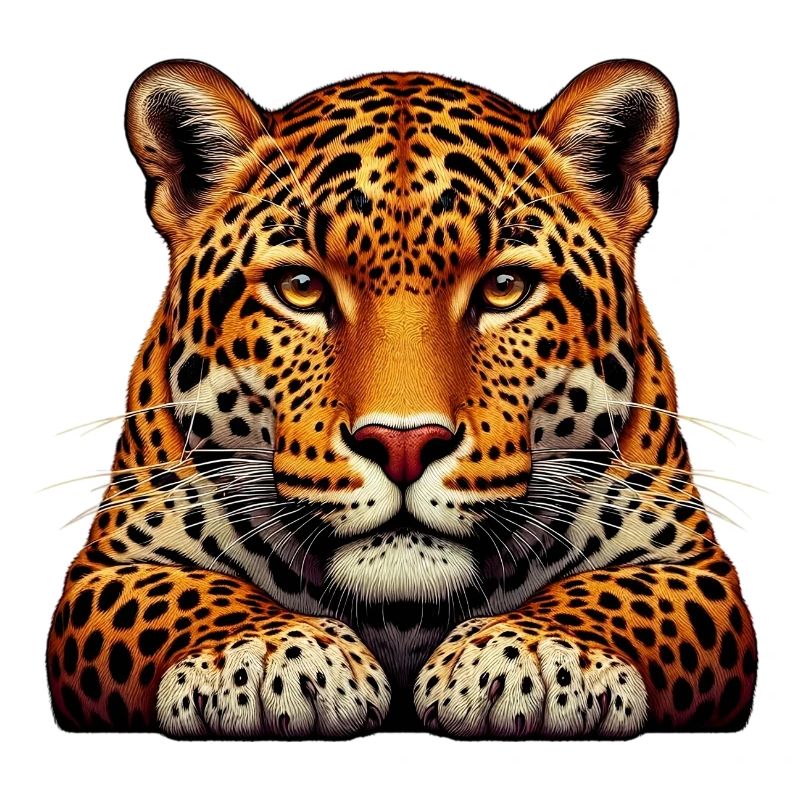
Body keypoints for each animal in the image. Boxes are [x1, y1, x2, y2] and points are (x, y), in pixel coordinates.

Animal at [47, 58, 757, 738]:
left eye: (505, 287)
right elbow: (184, 593)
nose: (405, 445)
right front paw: (265, 655)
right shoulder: (110, 566)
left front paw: (536, 655)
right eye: (301, 287)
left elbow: (619, 593)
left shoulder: (693, 565)